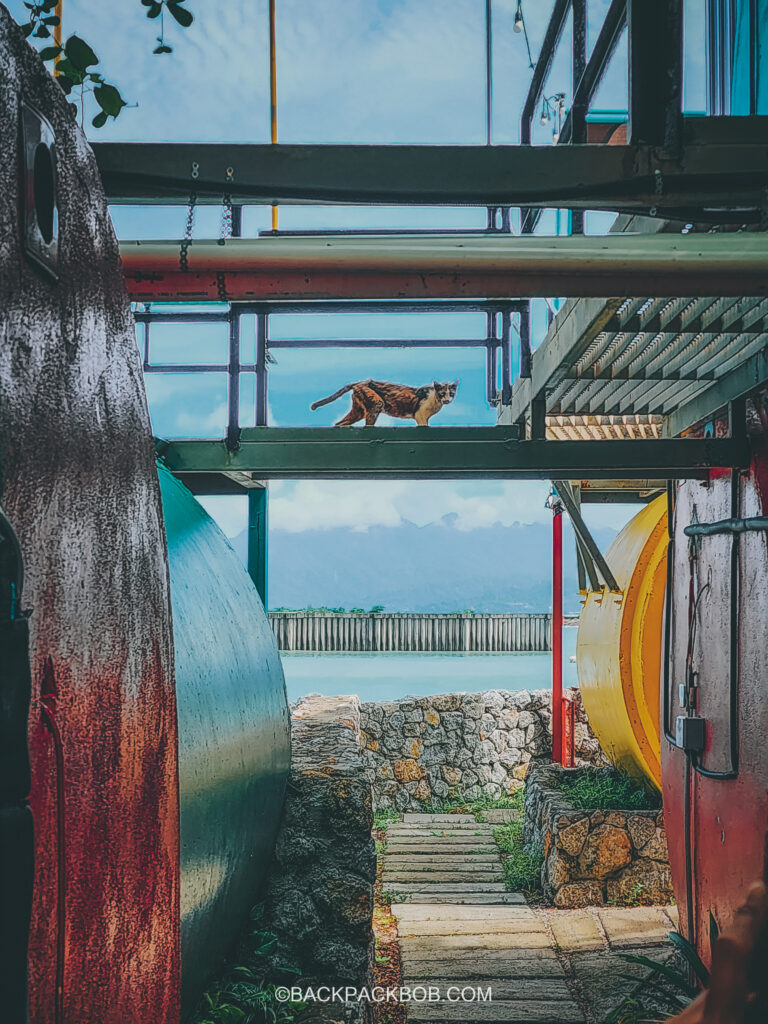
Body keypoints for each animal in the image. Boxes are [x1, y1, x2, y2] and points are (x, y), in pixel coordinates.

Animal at [311, 378, 456, 425]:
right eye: (442, 394)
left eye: (451, 394)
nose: (447, 400)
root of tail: (360, 382)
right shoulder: (420, 415)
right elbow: (423, 425)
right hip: (375, 403)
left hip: (358, 409)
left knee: (339, 423)